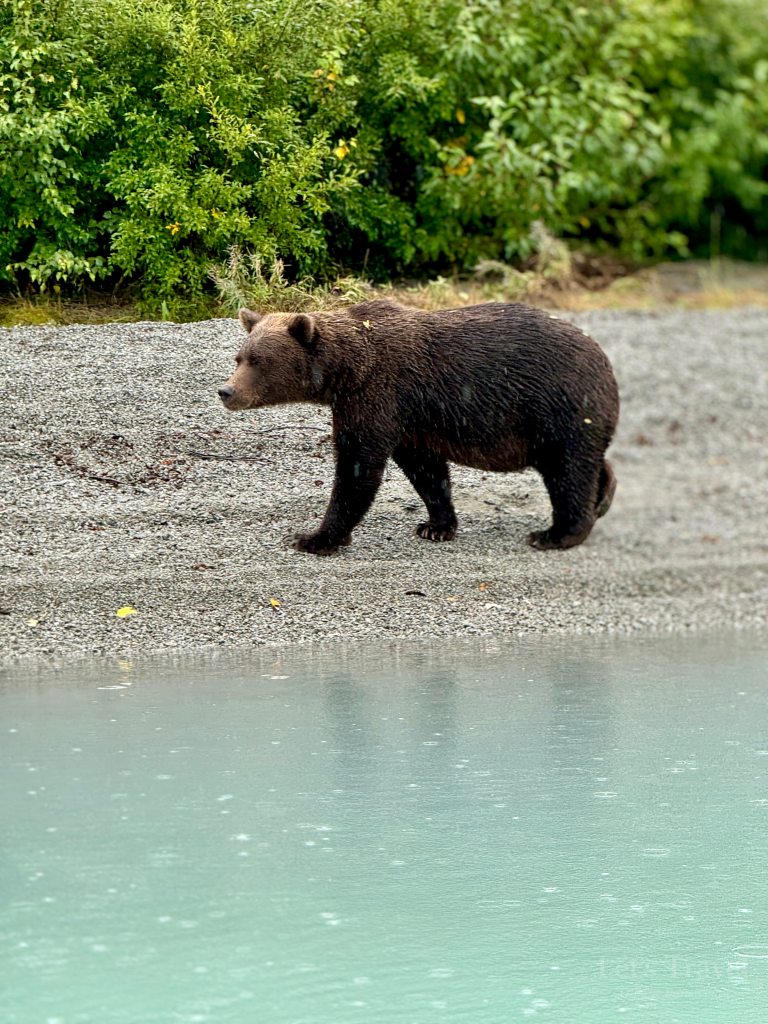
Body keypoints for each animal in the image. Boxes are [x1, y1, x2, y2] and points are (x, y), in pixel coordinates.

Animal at [218, 299, 619, 555]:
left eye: (258, 360)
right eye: (238, 357)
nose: (226, 391)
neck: (347, 371)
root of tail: (604, 360)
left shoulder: (378, 394)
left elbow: (357, 466)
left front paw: (315, 537)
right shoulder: (410, 417)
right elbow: (425, 469)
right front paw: (437, 525)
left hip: (557, 405)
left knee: (567, 470)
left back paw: (557, 533)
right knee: (584, 463)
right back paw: (602, 496)